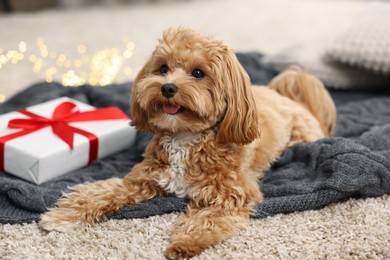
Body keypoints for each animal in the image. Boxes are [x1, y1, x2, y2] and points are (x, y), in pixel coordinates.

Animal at [41, 27, 336, 258]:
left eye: (198, 73)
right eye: (163, 68)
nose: (167, 87)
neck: (185, 137)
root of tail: (291, 99)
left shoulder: (232, 193)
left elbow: (208, 220)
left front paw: (186, 242)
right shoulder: (140, 179)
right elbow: (101, 193)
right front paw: (65, 216)